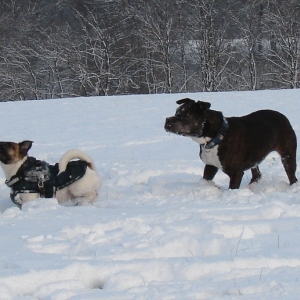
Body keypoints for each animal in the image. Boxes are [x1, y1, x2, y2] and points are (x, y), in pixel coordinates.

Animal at [165, 98, 298, 188]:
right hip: (254, 158)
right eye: (176, 112)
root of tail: (284, 117)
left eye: (186, 115)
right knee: (257, 174)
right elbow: (206, 179)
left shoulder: (236, 173)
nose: (167, 120)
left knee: (292, 177)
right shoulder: (210, 166)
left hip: (287, 155)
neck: (214, 137)